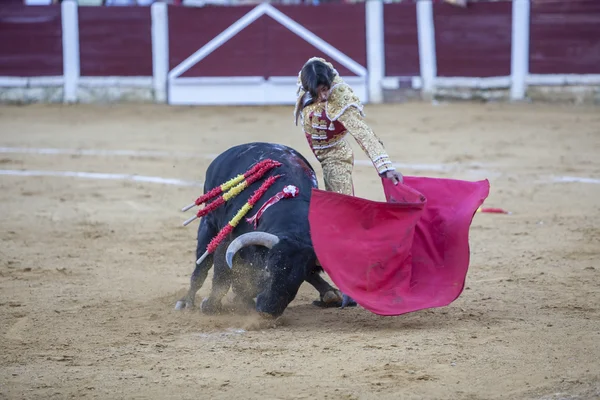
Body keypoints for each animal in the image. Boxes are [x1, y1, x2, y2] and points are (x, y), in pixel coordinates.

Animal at [173, 142, 352, 318]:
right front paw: (211, 305)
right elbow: (222, 276)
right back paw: (186, 302)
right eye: (268, 269)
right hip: (208, 223)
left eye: (300, 277)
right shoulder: (228, 240)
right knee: (201, 267)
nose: (268, 311)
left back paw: (330, 294)